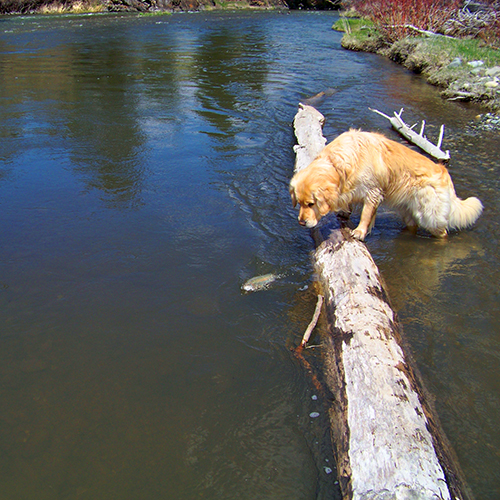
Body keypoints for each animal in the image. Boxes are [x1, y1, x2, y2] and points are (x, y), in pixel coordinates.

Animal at [290, 130, 484, 241]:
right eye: (299, 203)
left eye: (311, 204)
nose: (301, 222)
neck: (338, 165)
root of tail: (444, 172)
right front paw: (345, 211)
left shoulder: (373, 191)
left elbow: (366, 214)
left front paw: (360, 231)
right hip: (408, 210)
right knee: (412, 226)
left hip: (429, 214)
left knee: (442, 232)